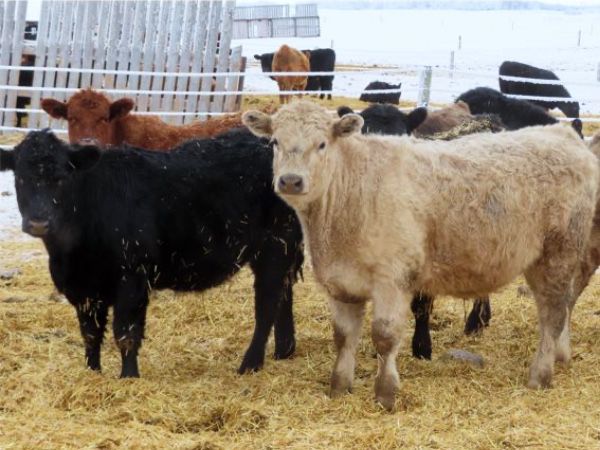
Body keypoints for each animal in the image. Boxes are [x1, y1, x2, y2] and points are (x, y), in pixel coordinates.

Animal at [0, 128, 304, 378]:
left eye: (62, 179)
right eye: (21, 178)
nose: (39, 222)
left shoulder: (132, 277)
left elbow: (126, 333)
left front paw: (129, 377)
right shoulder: (84, 288)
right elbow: (90, 334)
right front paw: (92, 373)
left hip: (275, 247)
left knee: (266, 305)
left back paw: (250, 364)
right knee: (284, 296)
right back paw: (284, 351)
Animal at [243, 100, 598, 411]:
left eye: (321, 144)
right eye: (274, 142)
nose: (291, 180)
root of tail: (560, 134)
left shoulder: (392, 279)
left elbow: (384, 337)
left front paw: (385, 394)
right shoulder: (340, 284)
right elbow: (343, 337)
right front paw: (339, 388)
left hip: (559, 253)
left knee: (554, 313)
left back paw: (541, 374)